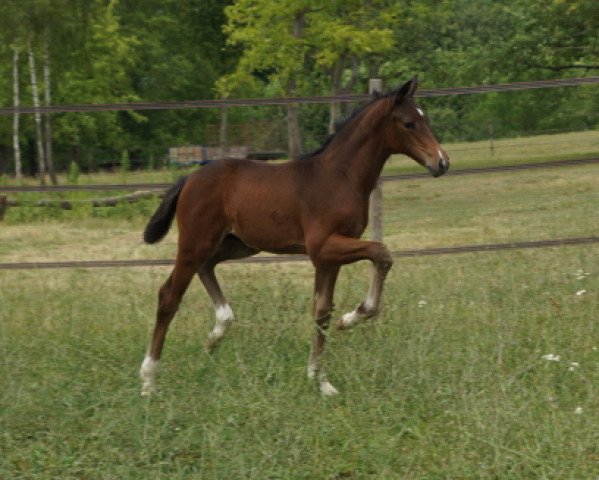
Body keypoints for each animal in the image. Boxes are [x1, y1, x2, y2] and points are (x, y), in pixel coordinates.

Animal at [142, 77, 450, 396]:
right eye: (409, 123)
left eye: (426, 119)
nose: (441, 162)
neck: (339, 177)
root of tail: (189, 178)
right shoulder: (323, 247)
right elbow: (381, 252)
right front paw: (352, 318)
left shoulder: (329, 258)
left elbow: (322, 311)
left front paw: (319, 379)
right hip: (196, 241)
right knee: (169, 295)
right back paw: (149, 379)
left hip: (238, 244)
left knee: (207, 267)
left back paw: (216, 333)